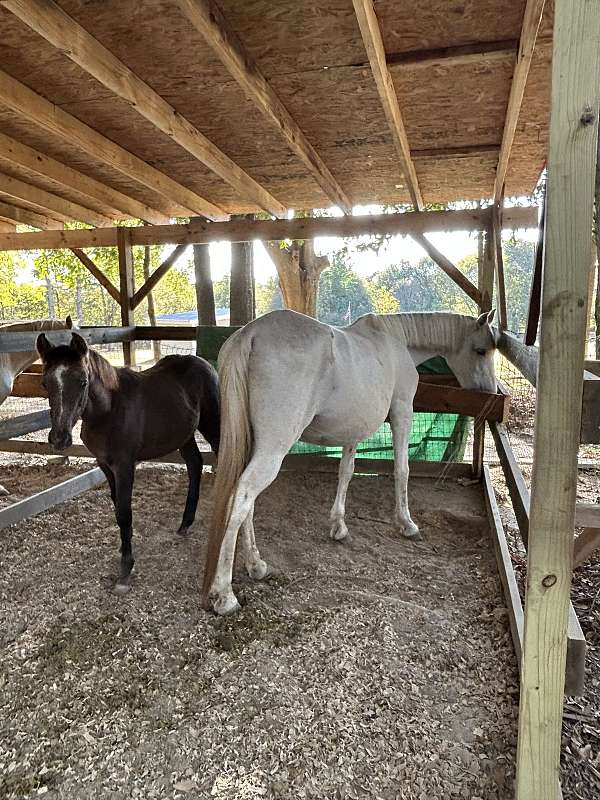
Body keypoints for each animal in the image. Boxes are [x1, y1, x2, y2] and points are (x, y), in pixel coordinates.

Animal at [36, 331, 220, 594]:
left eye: (82, 381)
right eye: (45, 383)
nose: (59, 438)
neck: (109, 410)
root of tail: (204, 363)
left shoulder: (124, 465)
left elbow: (124, 512)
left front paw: (125, 569)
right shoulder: (105, 464)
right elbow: (116, 507)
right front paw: (125, 550)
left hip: (212, 424)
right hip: (183, 435)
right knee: (195, 465)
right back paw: (185, 523)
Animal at [202, 308, 498, 615]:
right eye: (481, 350)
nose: (490, 393)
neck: (396, 340)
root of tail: (251, 333)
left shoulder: (352, 430)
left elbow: (346, 472)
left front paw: (339, 526)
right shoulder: (403, 412)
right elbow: (402, 469)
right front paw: (407, 523)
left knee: (245, 499)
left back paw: (256, 565)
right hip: (273, 448)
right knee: (243, 495)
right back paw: (225, 594)